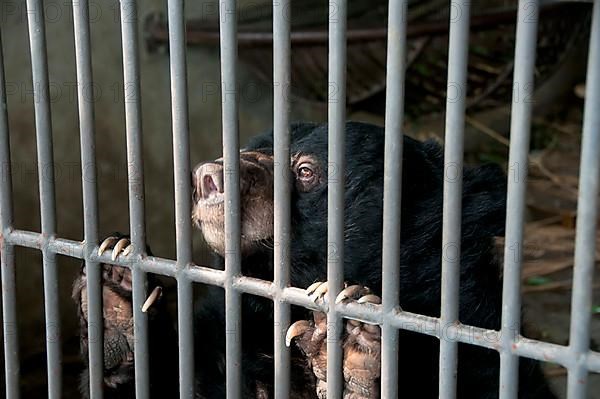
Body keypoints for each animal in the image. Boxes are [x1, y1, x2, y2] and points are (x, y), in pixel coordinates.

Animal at [72, 122, 556, 399]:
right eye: (245, 149)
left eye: (306, 171)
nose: (207, 178)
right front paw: (114, 291)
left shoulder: (474, 349)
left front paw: (349, 348)